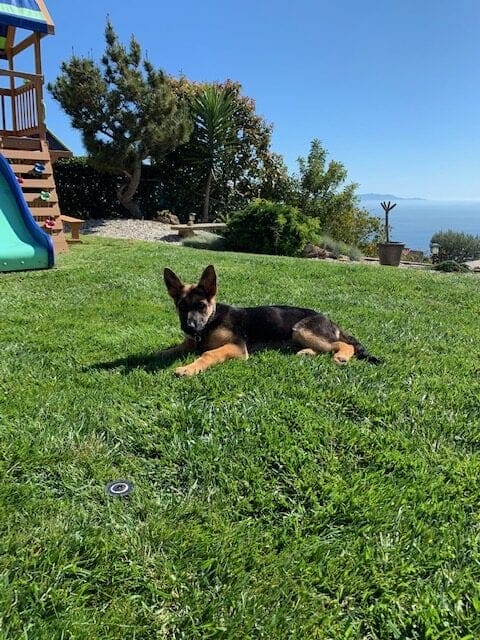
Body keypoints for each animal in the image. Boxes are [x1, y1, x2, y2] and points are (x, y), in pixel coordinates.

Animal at [160, 264, 378, 376]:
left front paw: (188, 368)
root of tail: (330, 320)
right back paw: (306, 353)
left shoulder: (237, 347)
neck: (211, 321)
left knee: (344, 344)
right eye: (181, 306)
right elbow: (170, 350)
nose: (188, 327)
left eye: (201, 306)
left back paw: (341, 356)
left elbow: (209, 354)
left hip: (302, 329)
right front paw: (156, 356)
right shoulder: (189, 343)